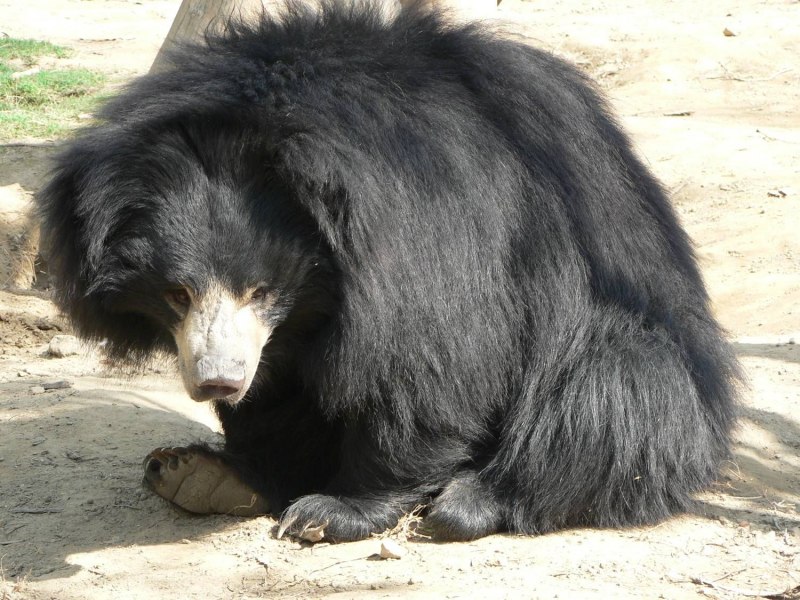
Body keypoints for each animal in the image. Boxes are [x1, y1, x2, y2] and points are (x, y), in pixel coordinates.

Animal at [36, 1, 740, 542]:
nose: (217, 382)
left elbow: (429, 358)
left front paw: (333, 510)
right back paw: (197, 475)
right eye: (177, 293)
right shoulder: (290, 333)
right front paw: (239, 471)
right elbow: (281, 389)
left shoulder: (433, 217)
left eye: (260, 290)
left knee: (609, 389)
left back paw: (472, 502)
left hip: (645, 352)